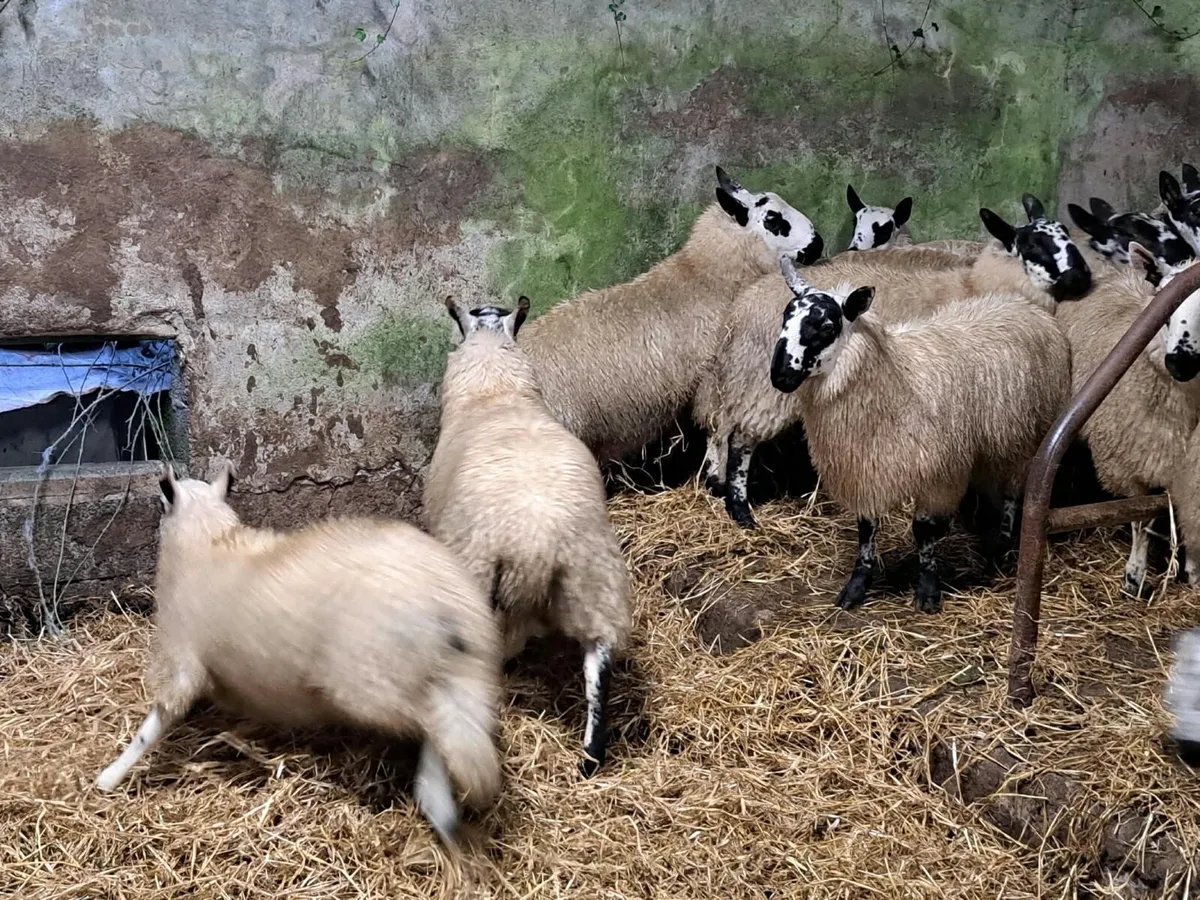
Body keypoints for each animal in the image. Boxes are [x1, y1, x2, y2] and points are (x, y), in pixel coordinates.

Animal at [94, 462, 501, 846]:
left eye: (161, 506)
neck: (207, 541)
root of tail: (449, 601)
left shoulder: (182, 663)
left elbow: (150, 729)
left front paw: (109, 777)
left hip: (371, 683)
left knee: (439, 726)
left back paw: (436, 794)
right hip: (466, 672)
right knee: (458, 729)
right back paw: (441, 808)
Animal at [424, 295, 633, 778]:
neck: (497, 395)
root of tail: (536, 546)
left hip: (478, 576)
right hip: (594, 583)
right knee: (598, 667)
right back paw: (590, 757)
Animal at [696, 193, 1093, 525]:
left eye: (1066, 236)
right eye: (1033, 246)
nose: (1082, 277)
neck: (976, 284)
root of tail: (741, 308)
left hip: (745, 381)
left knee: (721, 427)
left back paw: (717, 484)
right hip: (768, 388)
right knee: (741, 439)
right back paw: (740, 510)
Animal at [766, 257, 1071, 612]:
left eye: (828, 326)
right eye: (785, 317)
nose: (780, 376)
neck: (895, 378)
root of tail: (1022, 304)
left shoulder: (940, 473)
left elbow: (924, 530)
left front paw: (927, 590)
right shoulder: (868, 465)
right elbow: (866, 528)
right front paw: (857, 586)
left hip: (1025, 435)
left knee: (1012, 491)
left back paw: (1002, 546)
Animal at [1055, 243, 1200, 596]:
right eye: (1165, 305)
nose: (1179, 363)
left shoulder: (1190, 470)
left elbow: (1190, 513)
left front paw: (1192, 571)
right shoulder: (1127, 465)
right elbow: (1140, 519)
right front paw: (1134, 576)